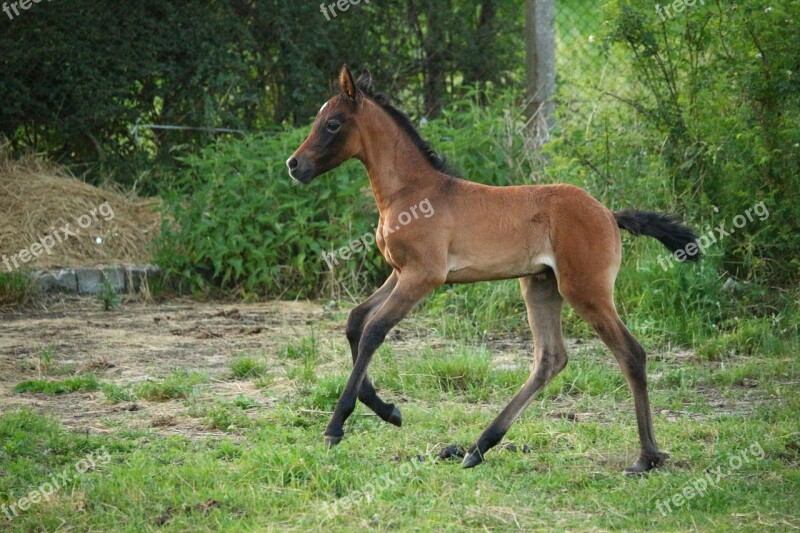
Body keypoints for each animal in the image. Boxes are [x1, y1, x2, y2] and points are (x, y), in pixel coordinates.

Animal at [288, 67, 700, 474]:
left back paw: (646, 456)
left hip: (586, 291)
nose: (294, 165)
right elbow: (355, 321)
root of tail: (610, 215)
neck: (412, 193)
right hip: (540, 286)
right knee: (550, 359)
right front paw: (389, 410)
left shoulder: (424, 275)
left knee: (631, 354)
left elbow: (374, 330)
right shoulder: (399, 272)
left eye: (333, 124)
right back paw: (478, 447)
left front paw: (337, 425)